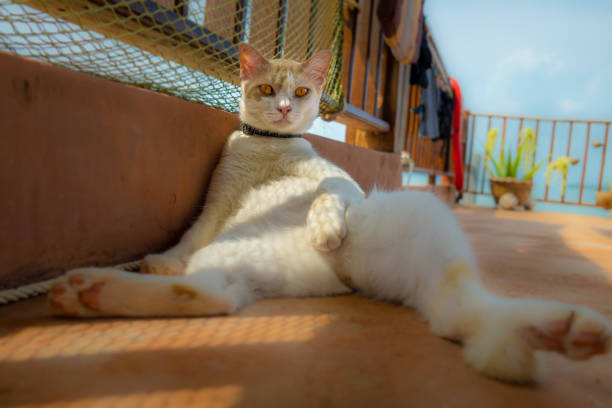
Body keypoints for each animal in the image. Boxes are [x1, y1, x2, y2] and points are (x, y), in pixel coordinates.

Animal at [49, 43, 612, 382]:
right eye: (266, 89)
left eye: (300, 91)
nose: (283, 109)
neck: (268, 148)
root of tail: (338, 275)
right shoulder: (218, 199)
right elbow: (191, 232)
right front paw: (164, 258)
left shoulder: (340, 179)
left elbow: (328, 190)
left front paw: (325, 223)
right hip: (240, 250)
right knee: (214, 293)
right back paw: (91, 293)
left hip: (420, 216)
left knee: (460, 312)